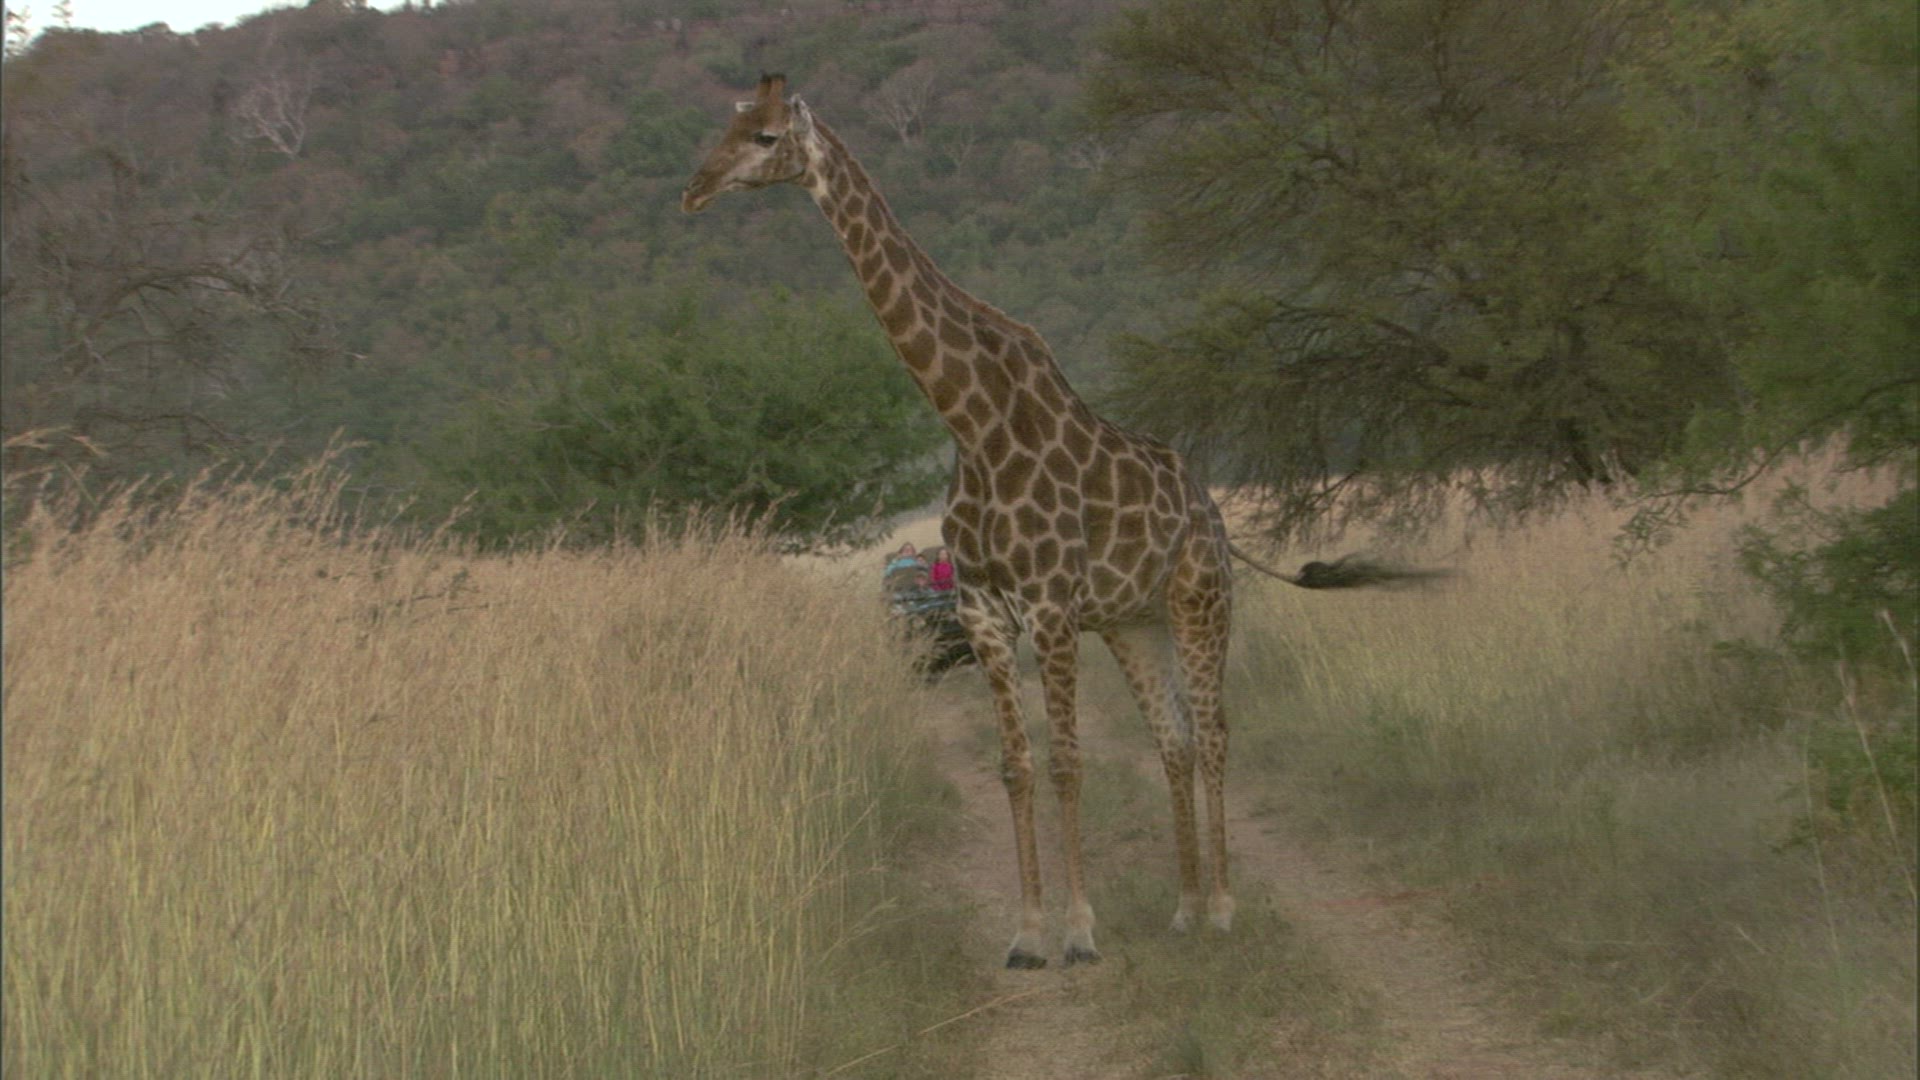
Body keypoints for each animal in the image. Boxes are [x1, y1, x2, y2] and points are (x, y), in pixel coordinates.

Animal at [683, 74, 1411, 968]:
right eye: (727, 124)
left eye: (764, 136)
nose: (695, 189)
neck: (973, 423)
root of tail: (1214, 515)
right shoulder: (984, 611)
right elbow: (1016, 765)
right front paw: (1029, 935)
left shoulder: (1051, 607)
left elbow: (1067, 762)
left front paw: (1081, 930)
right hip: (1134, 623)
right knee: (1172, 739)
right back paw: (1183, 909)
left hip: (1200, 603)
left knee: (1213, 733)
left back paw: (1224, 907)